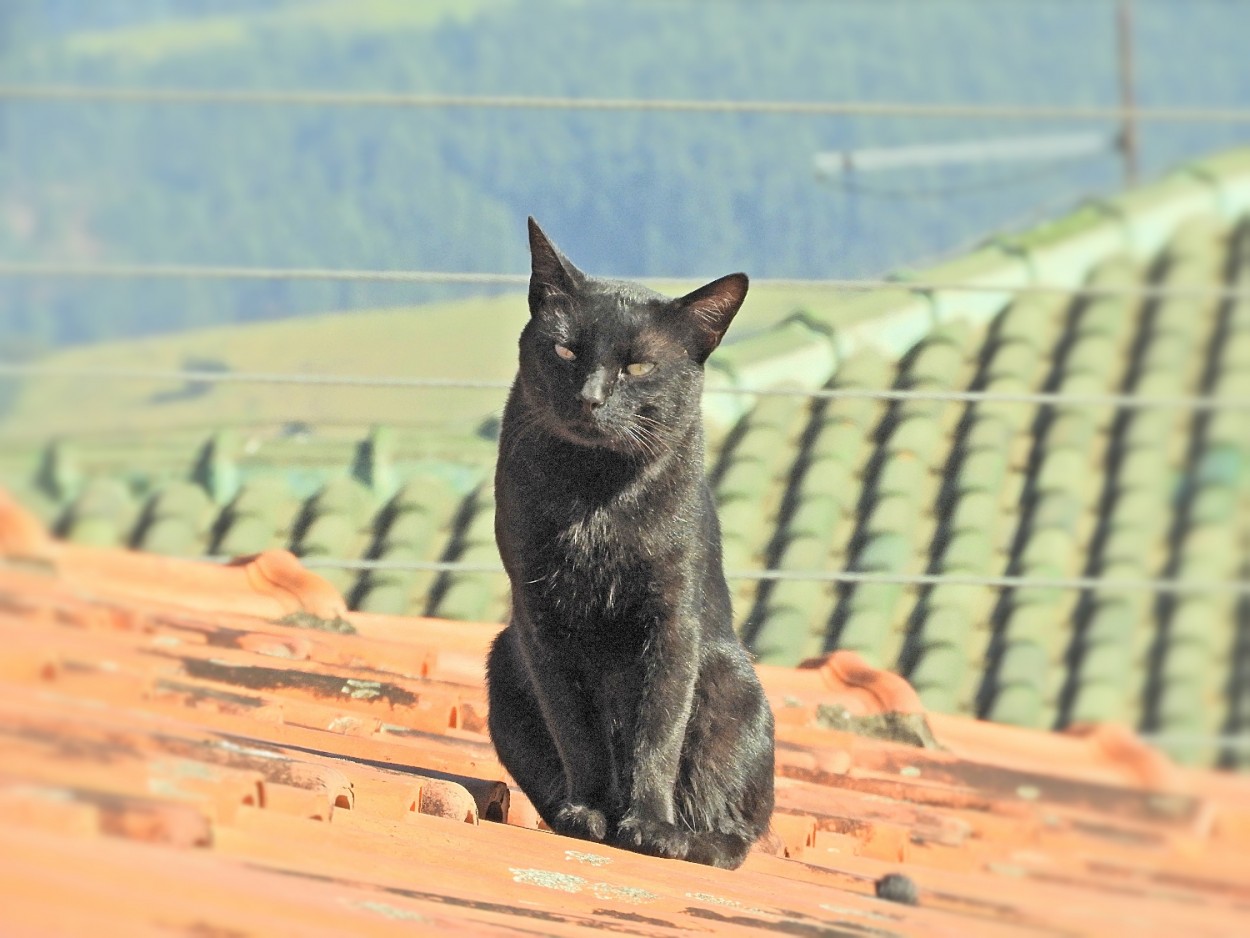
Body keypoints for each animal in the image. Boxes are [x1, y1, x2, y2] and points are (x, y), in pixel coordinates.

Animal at [485, 216, 770, 870]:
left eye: (638, 368)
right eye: (565, 349)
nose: (591, 397)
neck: (595, 499)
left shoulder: (672, 620)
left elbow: (657, 732)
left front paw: (649, 826)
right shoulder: (540, 620)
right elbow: (576, 728)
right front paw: (588, 813)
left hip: (732, 684)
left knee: (737, 831)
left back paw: (693, 840)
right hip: (504, 666)